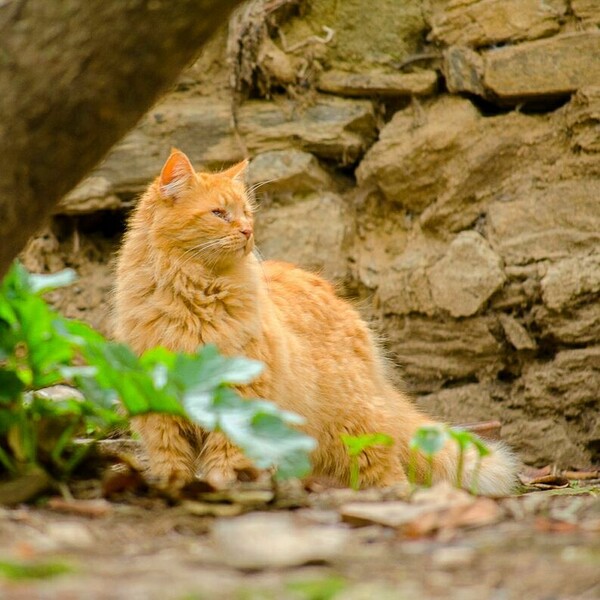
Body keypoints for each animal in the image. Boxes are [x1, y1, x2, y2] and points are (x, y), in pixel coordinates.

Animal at [115, 149, 516, 492]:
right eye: (219, 213)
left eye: (247, 214)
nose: (247, 232)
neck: (194, 296)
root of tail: (342, 303)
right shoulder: (158, 412)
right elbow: (172, 463)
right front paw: (176, 489)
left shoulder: (238, 399)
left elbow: (222, 462)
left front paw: (217, 489)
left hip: (355, 425)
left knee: (387, 470)